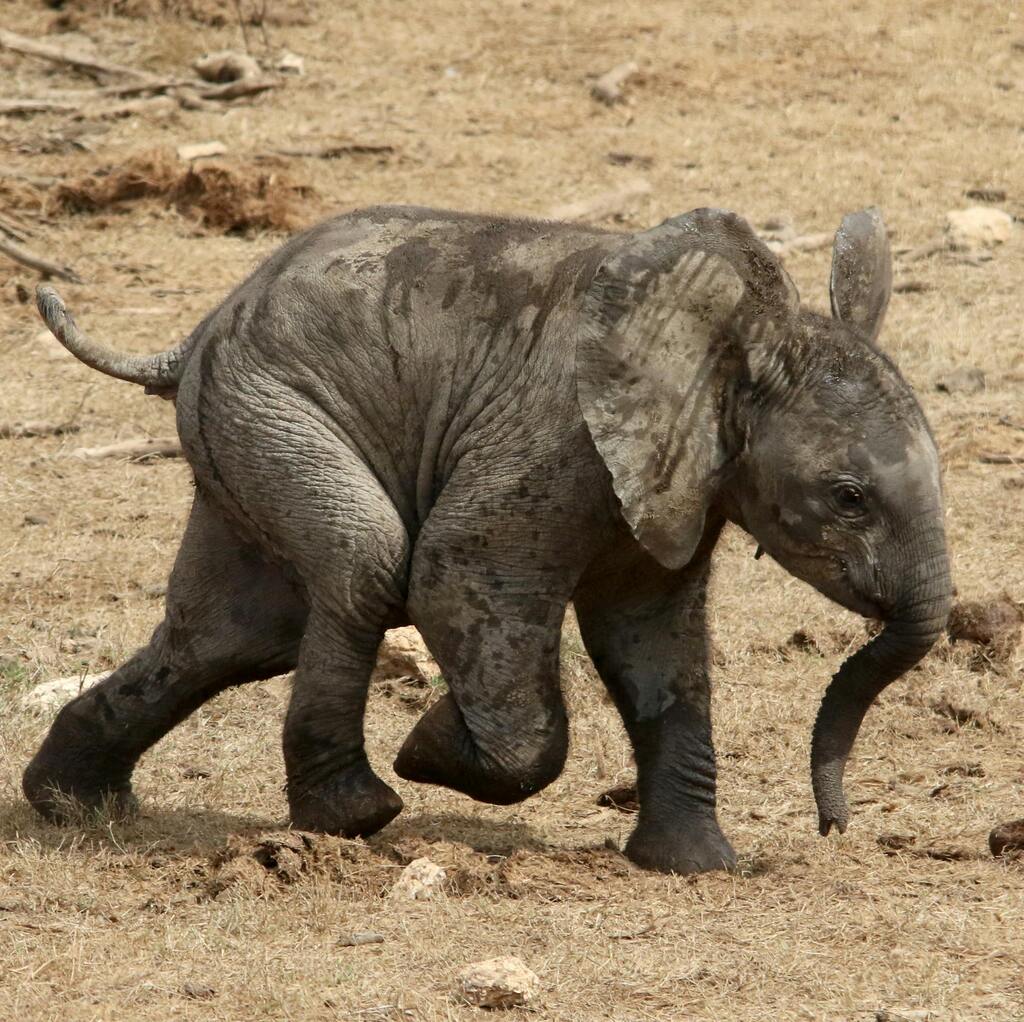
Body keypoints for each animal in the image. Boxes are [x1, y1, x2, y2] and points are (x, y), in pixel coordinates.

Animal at [23, 203, 952, 874]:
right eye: (849, 498)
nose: (834, 827)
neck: (724, 351)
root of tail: (201, 330)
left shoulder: (674, 483)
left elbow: (655, 645)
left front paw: (699, 868)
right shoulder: (557, 444)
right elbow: (451, 574)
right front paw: (430, 747)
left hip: (241, 428)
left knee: (233, 635)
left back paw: (70, 806)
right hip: (269, 406)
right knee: (364, 562)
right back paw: (359, 815)